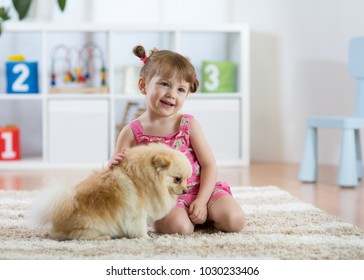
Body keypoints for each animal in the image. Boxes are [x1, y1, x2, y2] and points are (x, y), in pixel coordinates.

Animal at [35, 143, 192, 240]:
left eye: (186, 180)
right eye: (177, 179)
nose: (185, 190)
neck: (145, 179)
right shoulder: (137, 213)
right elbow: (140, 227)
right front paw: (146, 237)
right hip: (91, 226)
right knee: (80, 237)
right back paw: (104, 237)